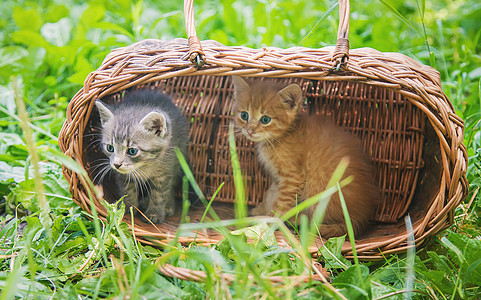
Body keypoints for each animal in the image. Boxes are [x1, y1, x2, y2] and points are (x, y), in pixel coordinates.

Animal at [94, 89, 188, 223]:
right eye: (110, 148)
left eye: (132, 151)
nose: (116, 164)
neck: (144, 165)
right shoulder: (124, 175)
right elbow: (128, 190)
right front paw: (127, 207)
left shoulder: (164, 173)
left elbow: (159, 194)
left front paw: (154, 213)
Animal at [232, 76, 378, 238]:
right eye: (244, 115)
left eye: (265, 120)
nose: (250, 131)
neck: (282, 137)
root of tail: (361, 218)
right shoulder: (278, 179)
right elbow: (270, 194)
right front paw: (261, 210)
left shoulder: (293, 178)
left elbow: (280, 204)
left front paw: (269, 222)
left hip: (317, 189)